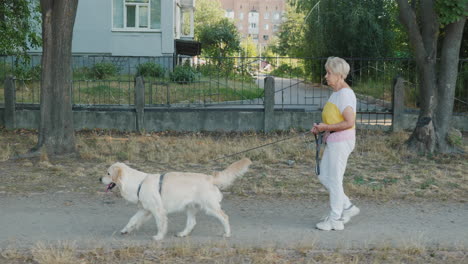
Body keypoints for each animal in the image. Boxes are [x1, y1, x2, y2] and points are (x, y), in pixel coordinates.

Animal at [100, 158, 250, 240]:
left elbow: (160, 225)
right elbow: (132, 219)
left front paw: (159, 237)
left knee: (224, 217)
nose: (99, 178)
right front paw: (125, 230)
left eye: (108, 173)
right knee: (192, 223)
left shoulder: (157, 210)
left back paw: (227, 233)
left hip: (210, 206)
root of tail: (210, 178)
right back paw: (183, 234)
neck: (138, 183)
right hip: (190, 207)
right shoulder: (145, 209)